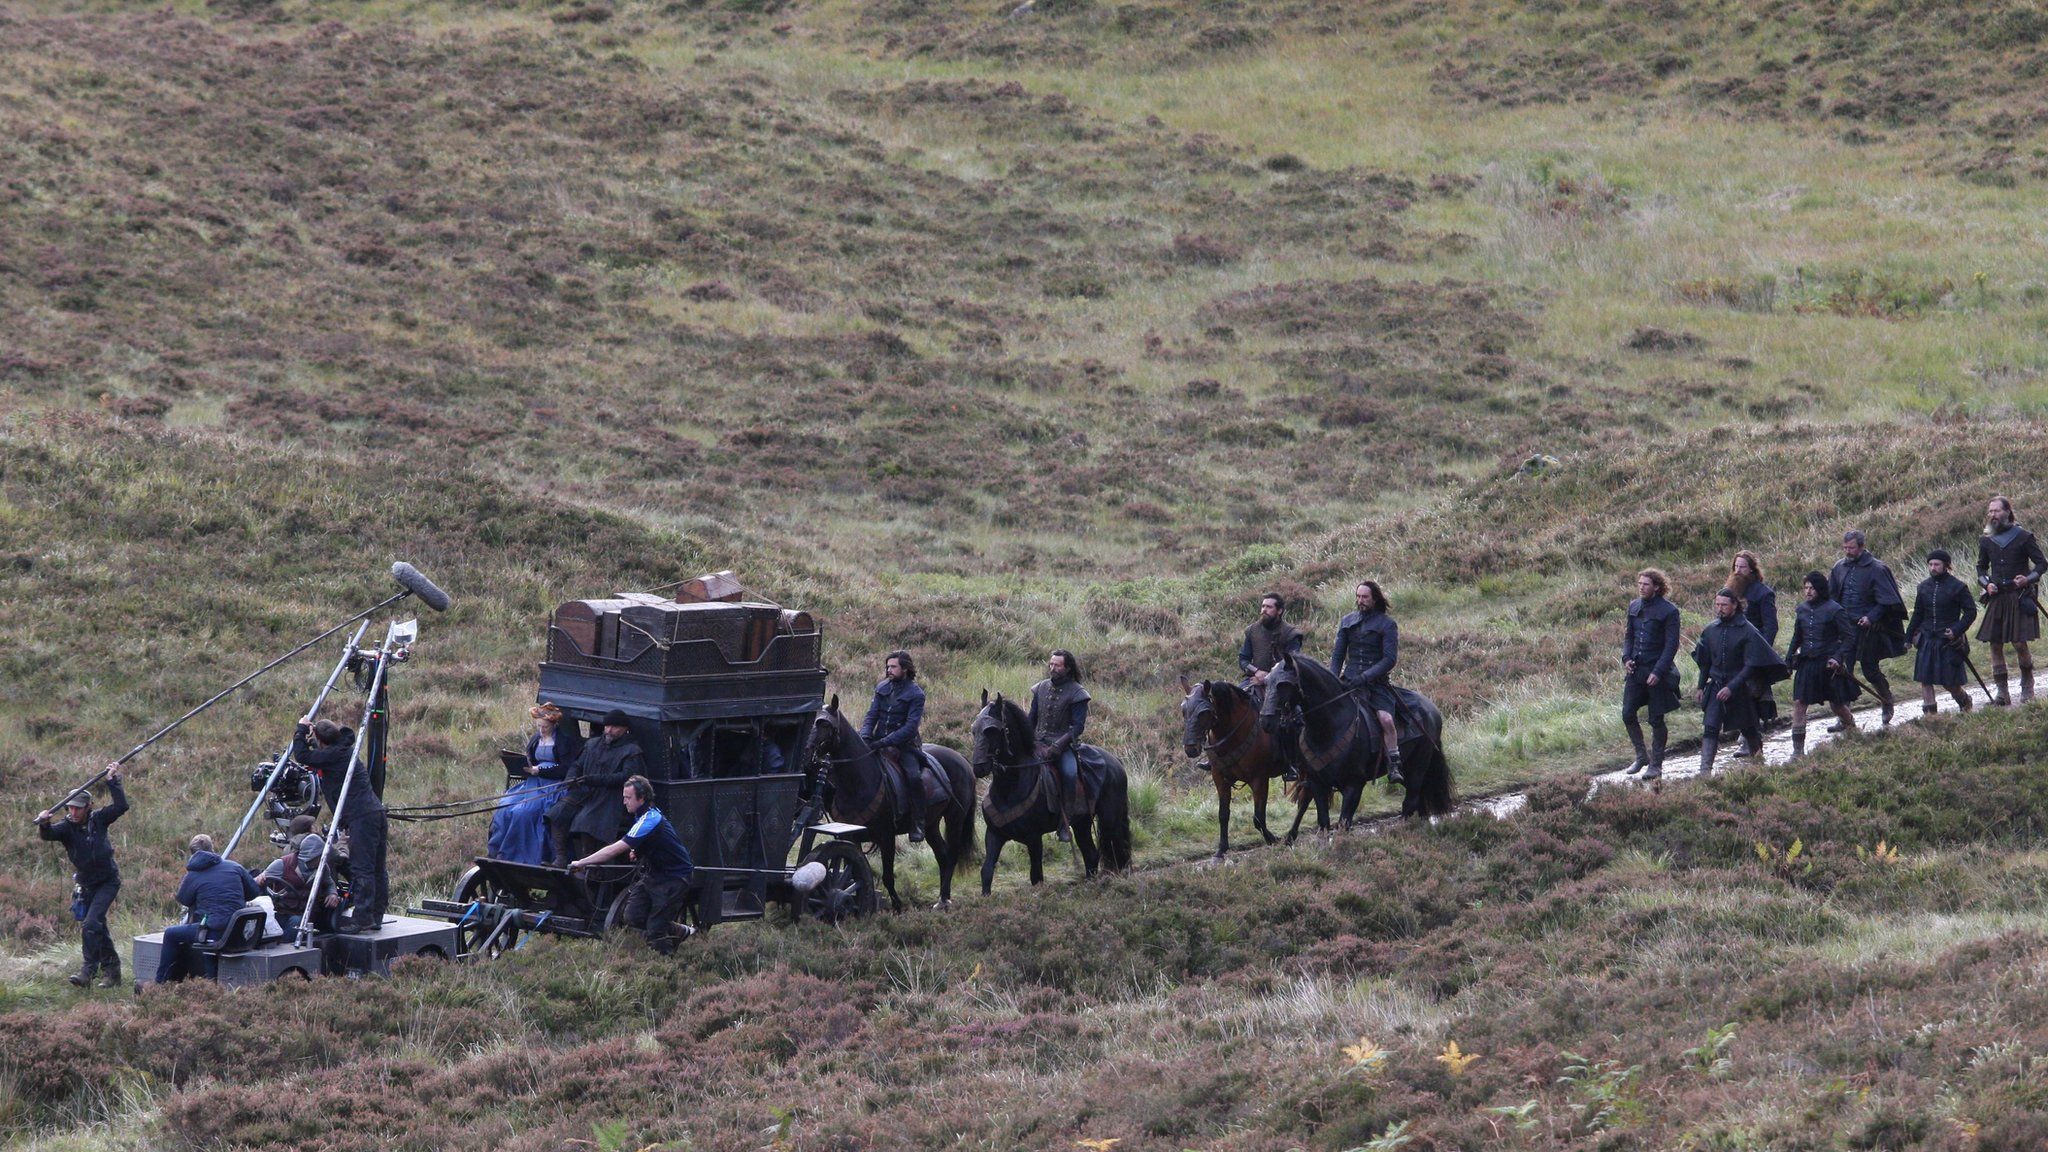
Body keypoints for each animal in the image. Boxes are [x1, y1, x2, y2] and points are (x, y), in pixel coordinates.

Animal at [806, 696, 974, 910]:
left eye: (825, 724)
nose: (807, 749)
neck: (859, 781)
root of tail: (962, 759)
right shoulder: (852, 837)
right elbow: (858, 872)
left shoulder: (886, 836)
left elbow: (887, 876)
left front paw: (898, 906)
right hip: (930, 825)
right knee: (942, 856)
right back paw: (942, 899)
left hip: (954, 819)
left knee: (951, 856)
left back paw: (944, 899)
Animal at [970, 688, 1138, 889]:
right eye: (974, 730)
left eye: (992, 731)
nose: (979, 767)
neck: (1009, 788)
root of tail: (1116, 763)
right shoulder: (994, 834)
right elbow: (986, 871)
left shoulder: (1033, 837)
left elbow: (1036, 876)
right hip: (1082, 823)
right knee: (1091, 854)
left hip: (1110, 817)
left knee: (1118, 847)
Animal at [1179, 676, 1286, 856]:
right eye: (1183, 711)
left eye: (1204, 712)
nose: (1191, 749)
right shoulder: (1220, 778)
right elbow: (1223, 814)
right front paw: (1221, 849)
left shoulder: (1259, 779)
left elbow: (1258, 818)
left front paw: (1272, 839)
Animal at [1253, 651, 1449, 840]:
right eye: (1267, 682)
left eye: (1283, 684)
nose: (1265, 721)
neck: (1328, 727)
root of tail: (1432, 709)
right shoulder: (1317, 784)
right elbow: (1323, 823)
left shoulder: (1354, 785)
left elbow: (1343, 824)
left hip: (1417, 768)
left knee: (1410, 802)